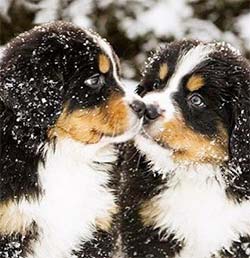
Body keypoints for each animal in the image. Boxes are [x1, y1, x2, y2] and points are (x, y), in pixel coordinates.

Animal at [0, 21, 145, 258]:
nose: (143, 108)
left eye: (117, 74)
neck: (65, 153)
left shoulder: (98, 225)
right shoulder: (11, 228)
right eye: (94, 80)